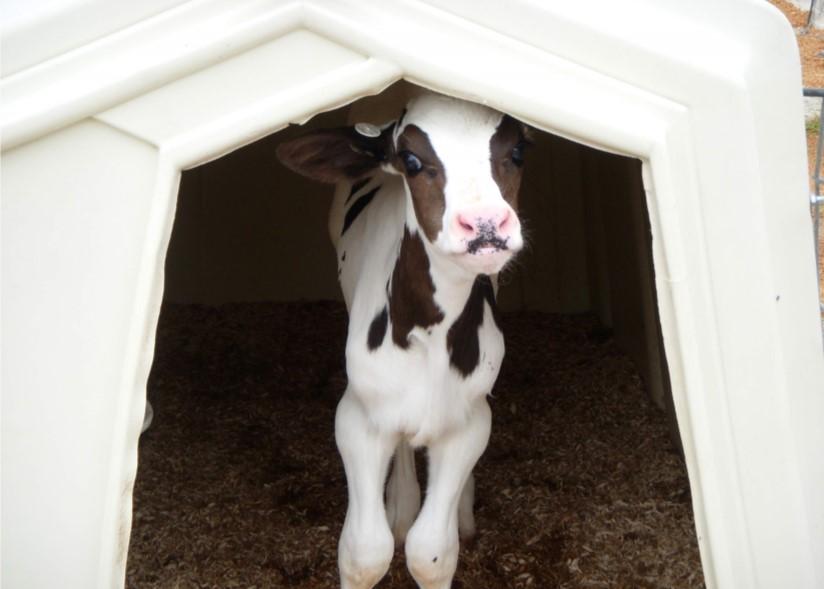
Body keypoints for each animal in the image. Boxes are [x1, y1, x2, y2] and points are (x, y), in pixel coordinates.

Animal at [276, 91, 530, 589]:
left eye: (515, 153)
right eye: (411, 160)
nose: (486, 225)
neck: (430, 328)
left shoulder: (472, 418)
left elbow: (431, 552)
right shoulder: (358, 414)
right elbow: (364, 553)